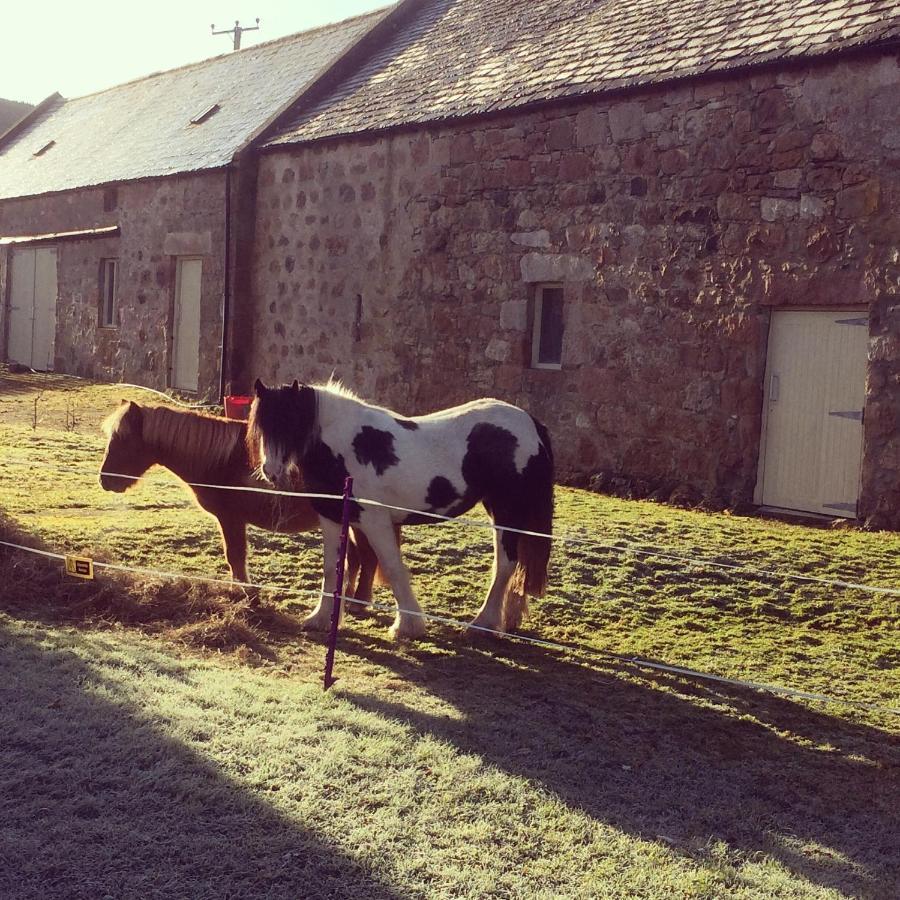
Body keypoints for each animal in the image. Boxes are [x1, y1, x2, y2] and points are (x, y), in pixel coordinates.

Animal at [98, 402, 380, 608]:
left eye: (123, 440)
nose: (104, 480)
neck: (221, 460)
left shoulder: (231, 519)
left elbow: (234, 555)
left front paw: (248, 594)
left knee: (367, 557)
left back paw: (357, 603)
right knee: (356, 558)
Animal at [248, 380, 556, 640]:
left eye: (290, 422)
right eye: (263, 425)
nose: (270, 471)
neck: (342, 447)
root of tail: (530, 423)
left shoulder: (374, 521)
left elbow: (393, 567)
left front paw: (408, 625)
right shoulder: (332, 517)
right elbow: (332, 568)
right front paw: (321, 619)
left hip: (507, 512)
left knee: (505, 564)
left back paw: (482, 623)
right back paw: (506, 620)